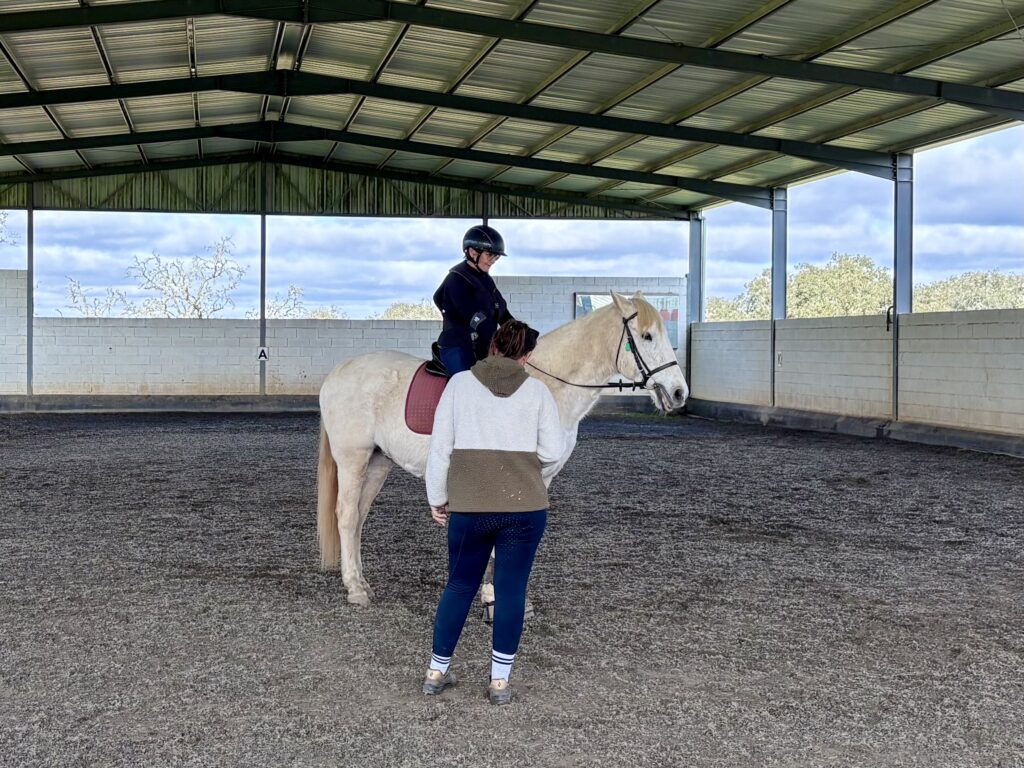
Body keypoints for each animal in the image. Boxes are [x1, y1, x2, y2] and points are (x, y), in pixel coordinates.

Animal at [317, 290, 688, 606]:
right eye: (647, 337)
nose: (679, 392)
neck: (546, 384)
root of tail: (337, 373)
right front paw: (495, 596)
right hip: (354, 459)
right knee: (347, 515)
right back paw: (355, 589)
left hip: (379, 461)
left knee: (359, 516)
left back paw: (362, 581)